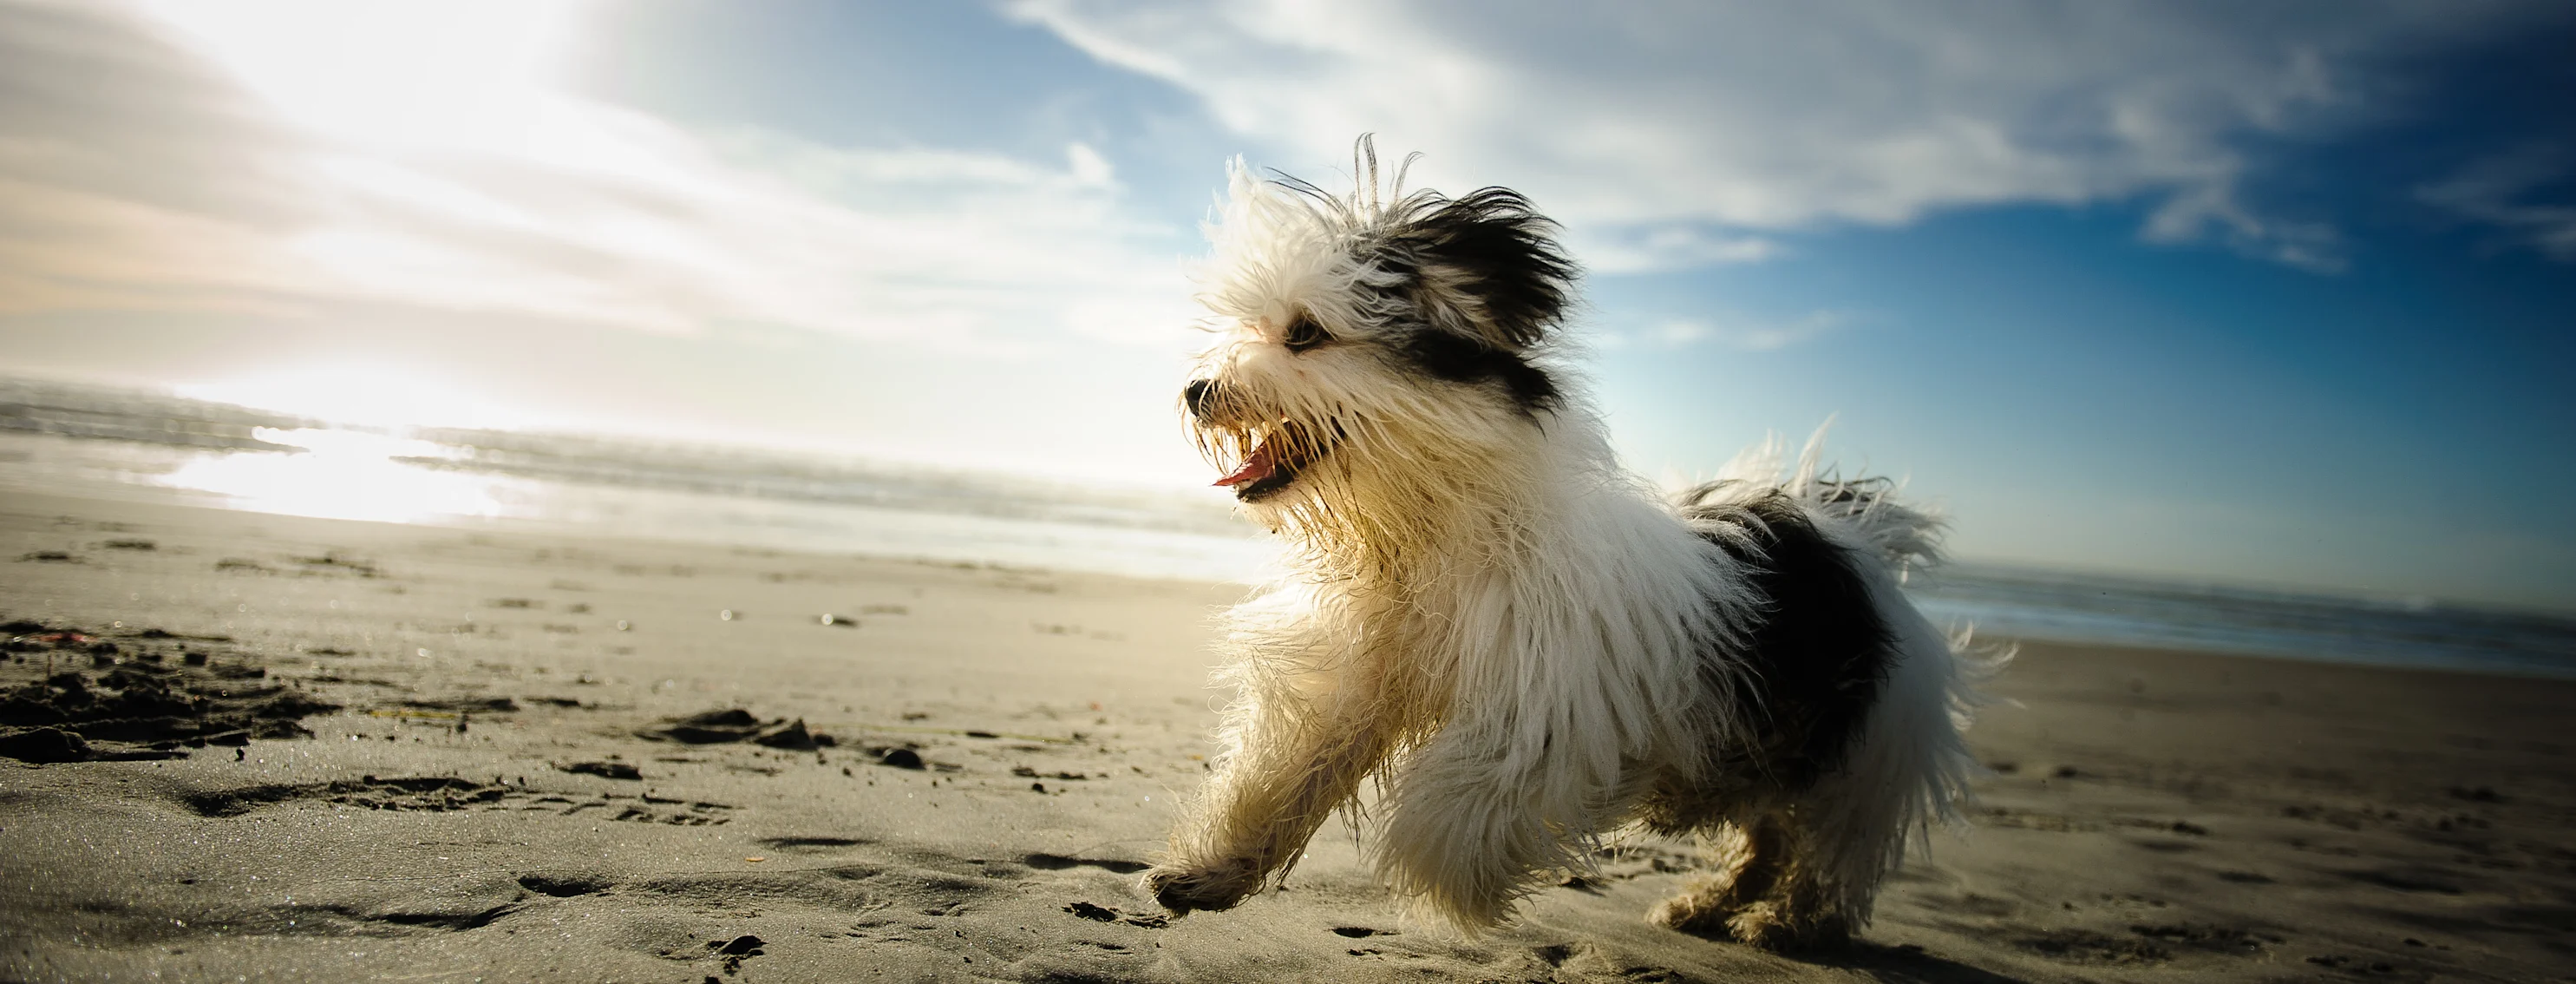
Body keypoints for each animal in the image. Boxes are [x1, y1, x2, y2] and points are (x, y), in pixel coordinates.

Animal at [1143, 142, 1988, 948]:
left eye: (1305, 333)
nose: (1196, 391)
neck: (1439, 527)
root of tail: (1856, 536)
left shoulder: (1548, 704)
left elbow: (1452, 810)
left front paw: (1455, 882)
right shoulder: (1357, 673)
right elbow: (1291, 768)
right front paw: (1208, 871)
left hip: (1861, 760)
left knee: (1824, 854)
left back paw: (1786, 923)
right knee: (1769, 838)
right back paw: (1708, 905)